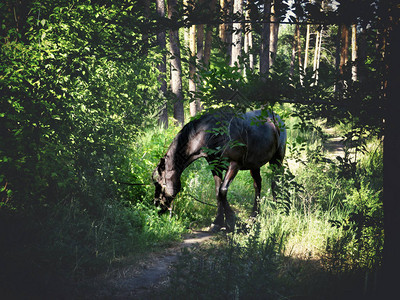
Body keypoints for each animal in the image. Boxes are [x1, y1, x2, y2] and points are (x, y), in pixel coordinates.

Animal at [152, 108, 286, 232]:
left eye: (160, 184)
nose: (156, 207)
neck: (213, 134)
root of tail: (276, 118)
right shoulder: (215, 167)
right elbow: (218, 192)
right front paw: (218, 222)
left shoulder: (234, 165)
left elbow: (222, 190)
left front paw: (231, 220)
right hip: (254, 165)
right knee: (257, 185)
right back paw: (254, 216)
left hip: (276, 160)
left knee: (275, 182)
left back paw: (277, 209)